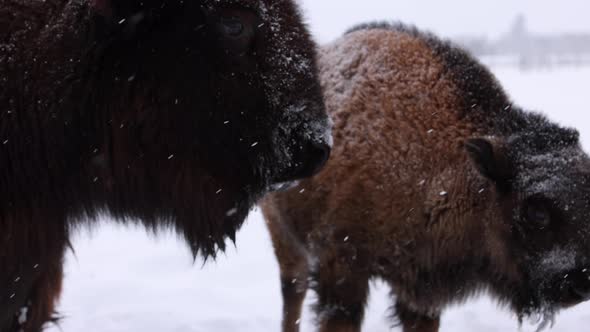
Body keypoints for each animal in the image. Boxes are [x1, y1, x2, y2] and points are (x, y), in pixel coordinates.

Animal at [262, 23, 590, 332]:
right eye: (535, 212)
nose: (582, 281)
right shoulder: (342, 266)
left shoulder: (422, 290)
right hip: (282, 233)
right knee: (293, 289)